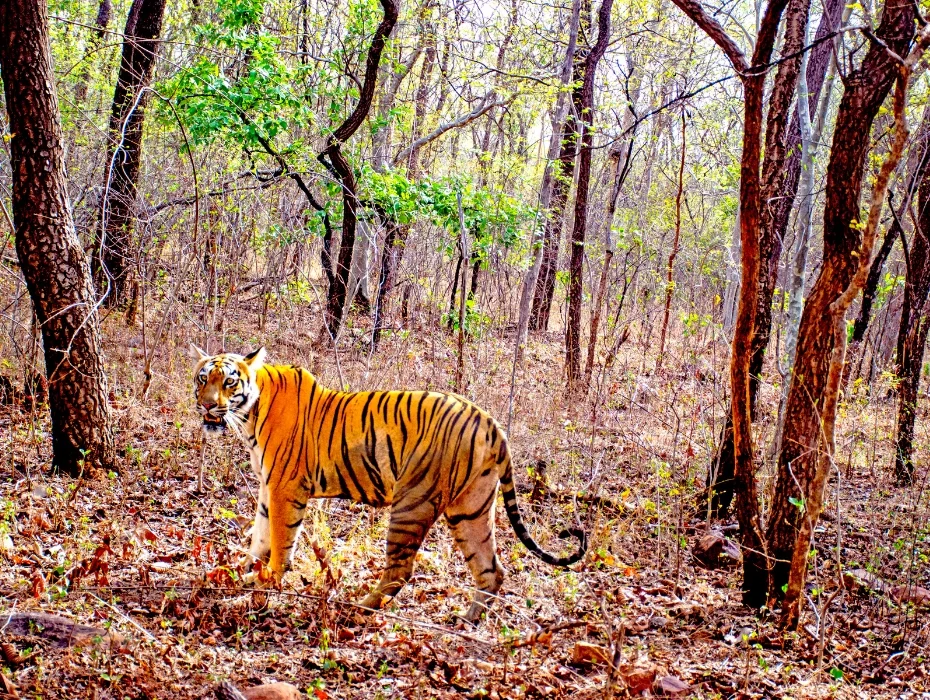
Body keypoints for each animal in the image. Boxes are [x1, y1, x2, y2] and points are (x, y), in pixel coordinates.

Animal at [191, 346, 586, 622]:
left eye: (229, 381)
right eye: (202, 379)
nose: (208, 407)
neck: (249, 416)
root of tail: (488, 420)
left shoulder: (285, 488)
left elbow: (279, 540)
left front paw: (267, 581)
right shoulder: (266, 488)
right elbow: (258, 536)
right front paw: (242, 572)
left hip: (413, 502)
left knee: (400, 570)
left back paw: (359, 607)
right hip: (470, 509)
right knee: (491, 569)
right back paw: (466, 621)